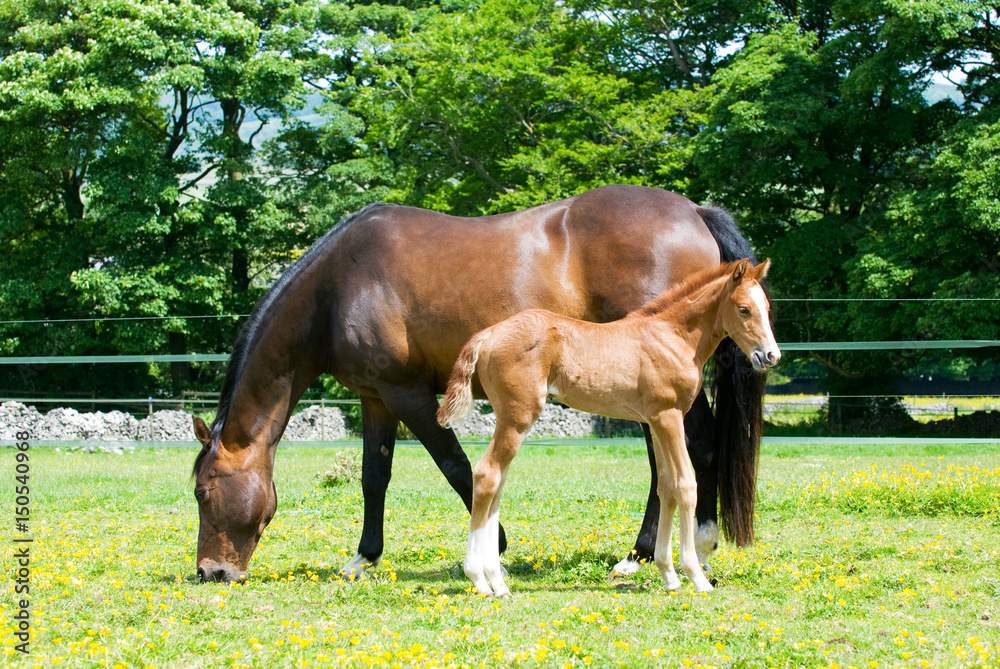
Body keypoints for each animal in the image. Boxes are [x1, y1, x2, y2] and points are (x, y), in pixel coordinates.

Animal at [438, 259, 779, 596]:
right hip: (517, 416)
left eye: (767, 308)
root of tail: (489, 333)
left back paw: (495, 580)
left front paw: (669, 576)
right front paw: (696, 577)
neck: (674, 337)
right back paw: (481, 580)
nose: (771, 355)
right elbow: (685, 486)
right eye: (744, 309)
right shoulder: (669, 416)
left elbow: (666, 488)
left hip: (510, 419)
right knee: (487, 475)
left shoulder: (655, 421)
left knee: (497, 483)